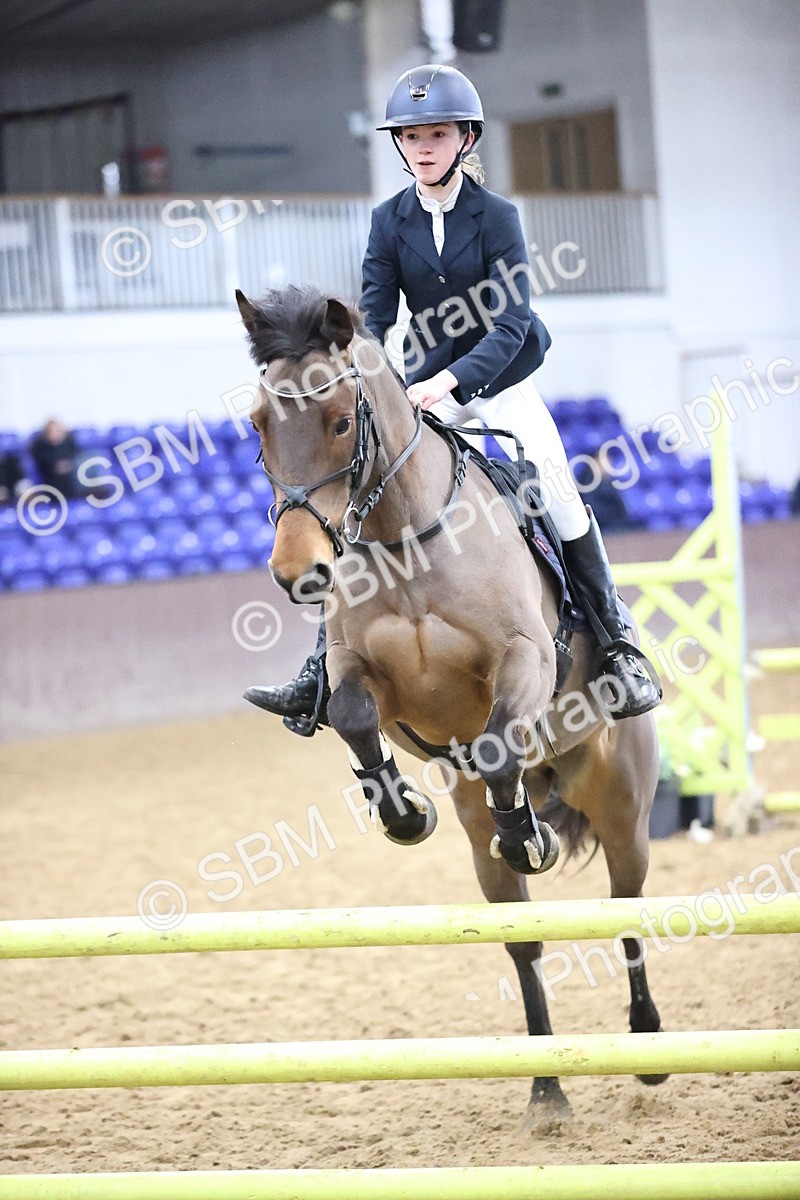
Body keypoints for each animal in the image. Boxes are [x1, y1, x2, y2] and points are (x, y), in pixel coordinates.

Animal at [235, 284, 666, 1116]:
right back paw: (546, 1088)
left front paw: (530, 837)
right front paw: (405, 813)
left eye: (340, 421)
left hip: (623, 804)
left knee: (625, 907)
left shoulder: (524, 659)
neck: (405, 535)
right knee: (523, 940)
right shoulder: (358, 670)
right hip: (482, 838)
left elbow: (498, 741)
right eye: (258, 424)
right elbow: (351, 716)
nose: (300, 573)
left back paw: (651, 1045)